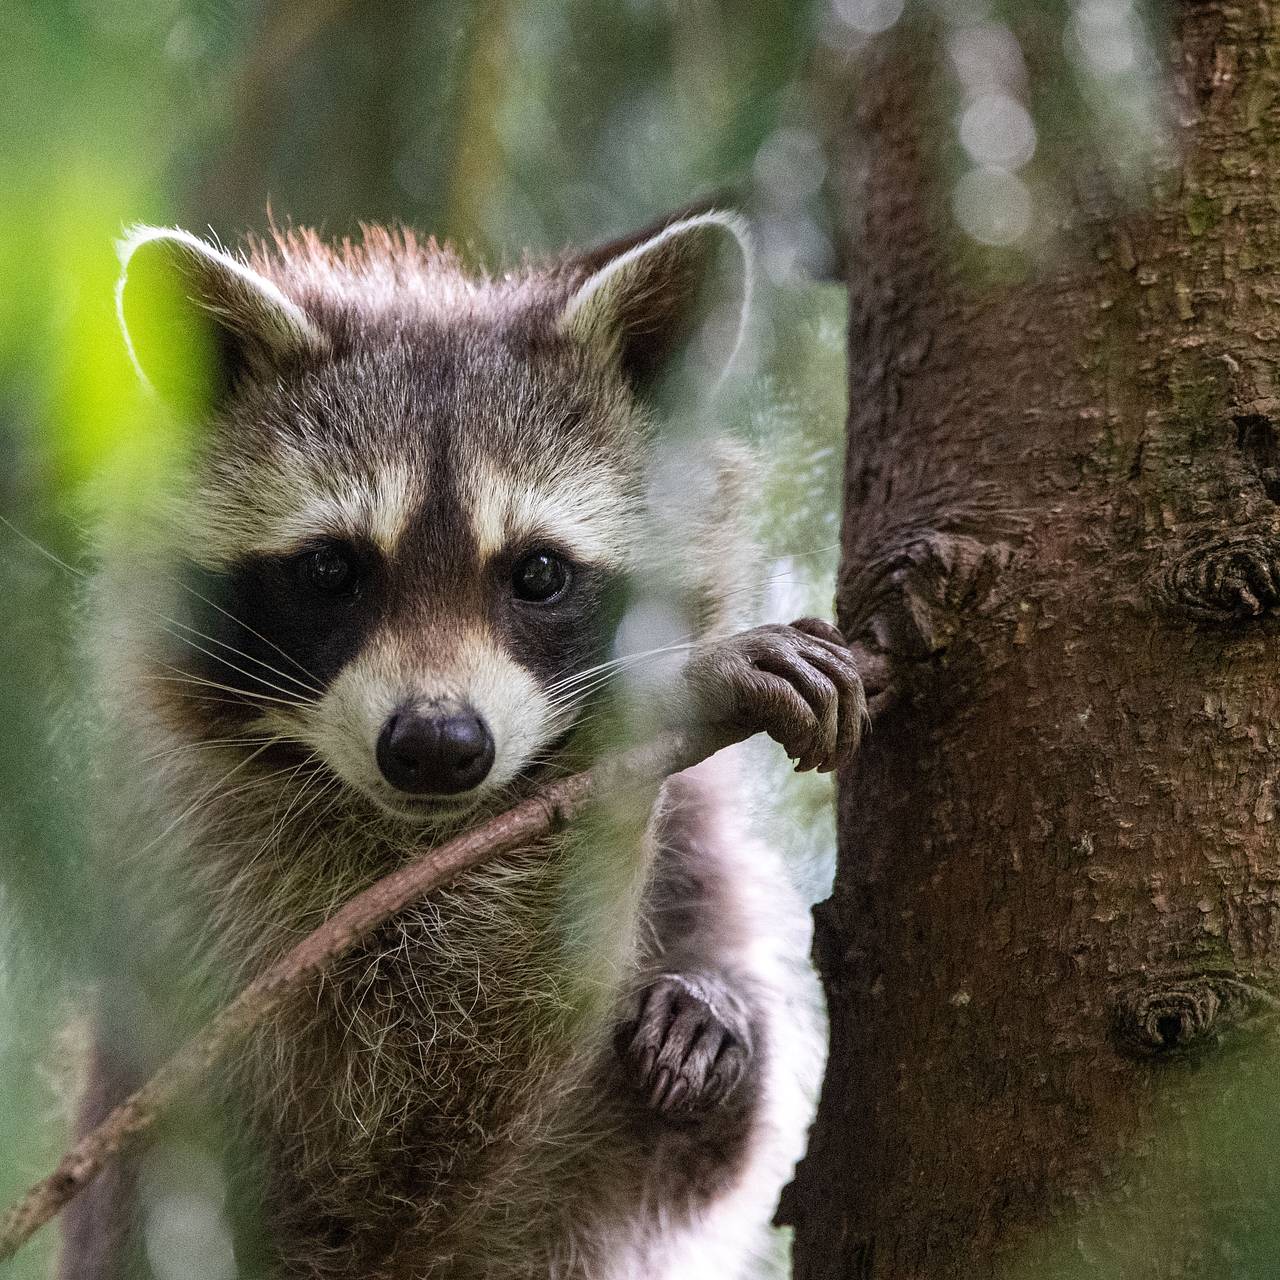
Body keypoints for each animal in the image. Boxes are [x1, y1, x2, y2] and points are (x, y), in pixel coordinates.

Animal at [60, 212, 860, 1280]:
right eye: (330, 570)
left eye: (540, 573)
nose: (437, 746)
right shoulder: (226, 878)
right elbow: (396, 1107)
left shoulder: (703, 852)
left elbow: (709, 1153)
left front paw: (711, 1020)